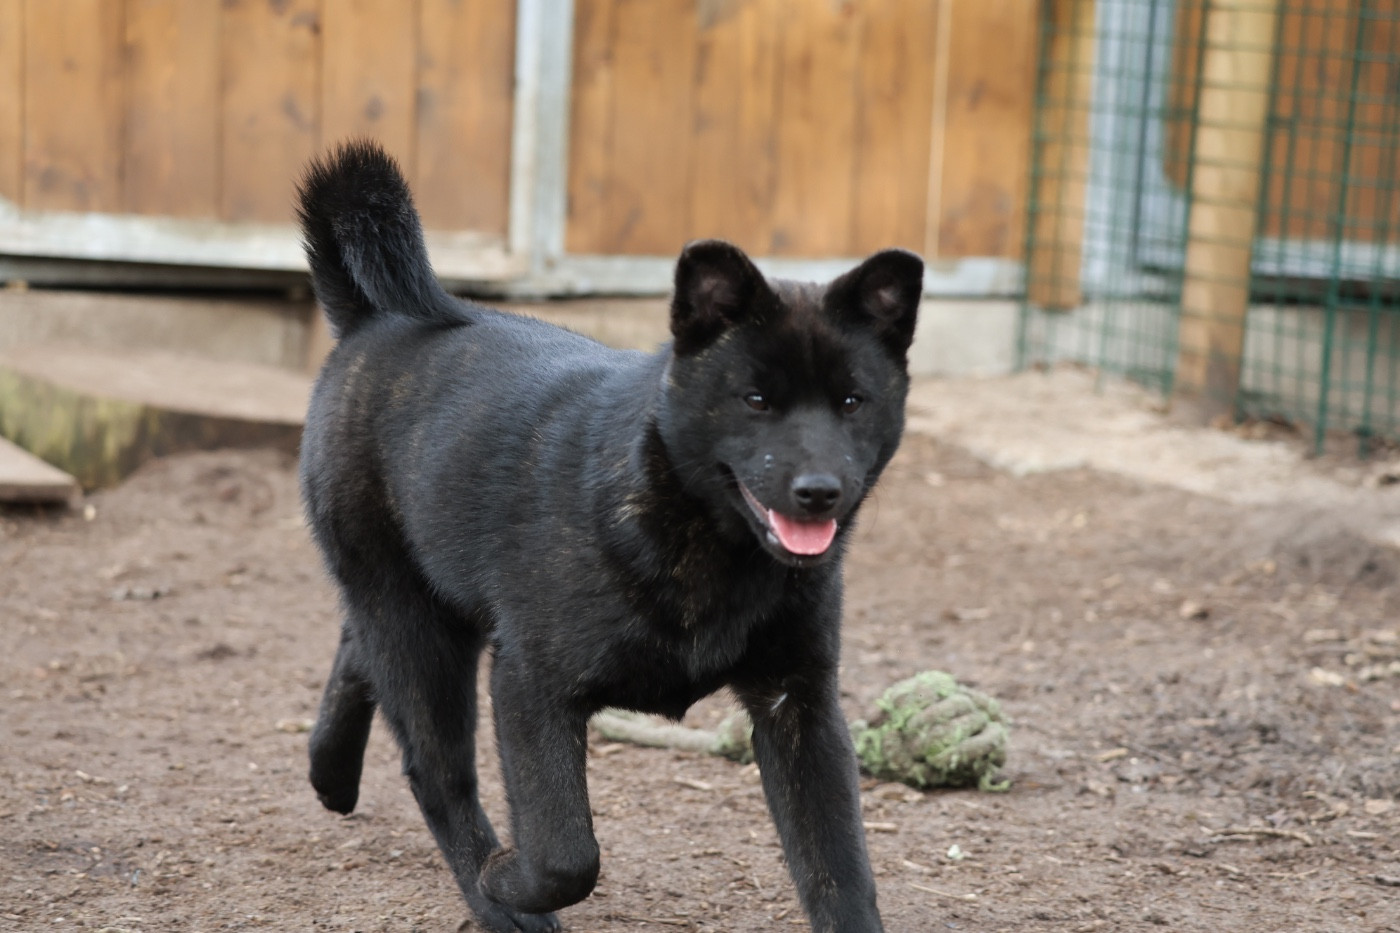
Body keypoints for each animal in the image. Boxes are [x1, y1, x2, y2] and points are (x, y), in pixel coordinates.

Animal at [296, 140, 923, 933]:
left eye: (851, 400)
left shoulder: (799, 704)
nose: (819, 491)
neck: (706, 544)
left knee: (358, 648)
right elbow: (567, 853)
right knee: (437, 773)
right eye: (755, 399)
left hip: (423, 608)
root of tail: (369, 321)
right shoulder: (530, 684)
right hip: (420, 632)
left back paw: (331, 773)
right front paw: (507, 879)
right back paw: (495, 898)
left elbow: (840, 875)